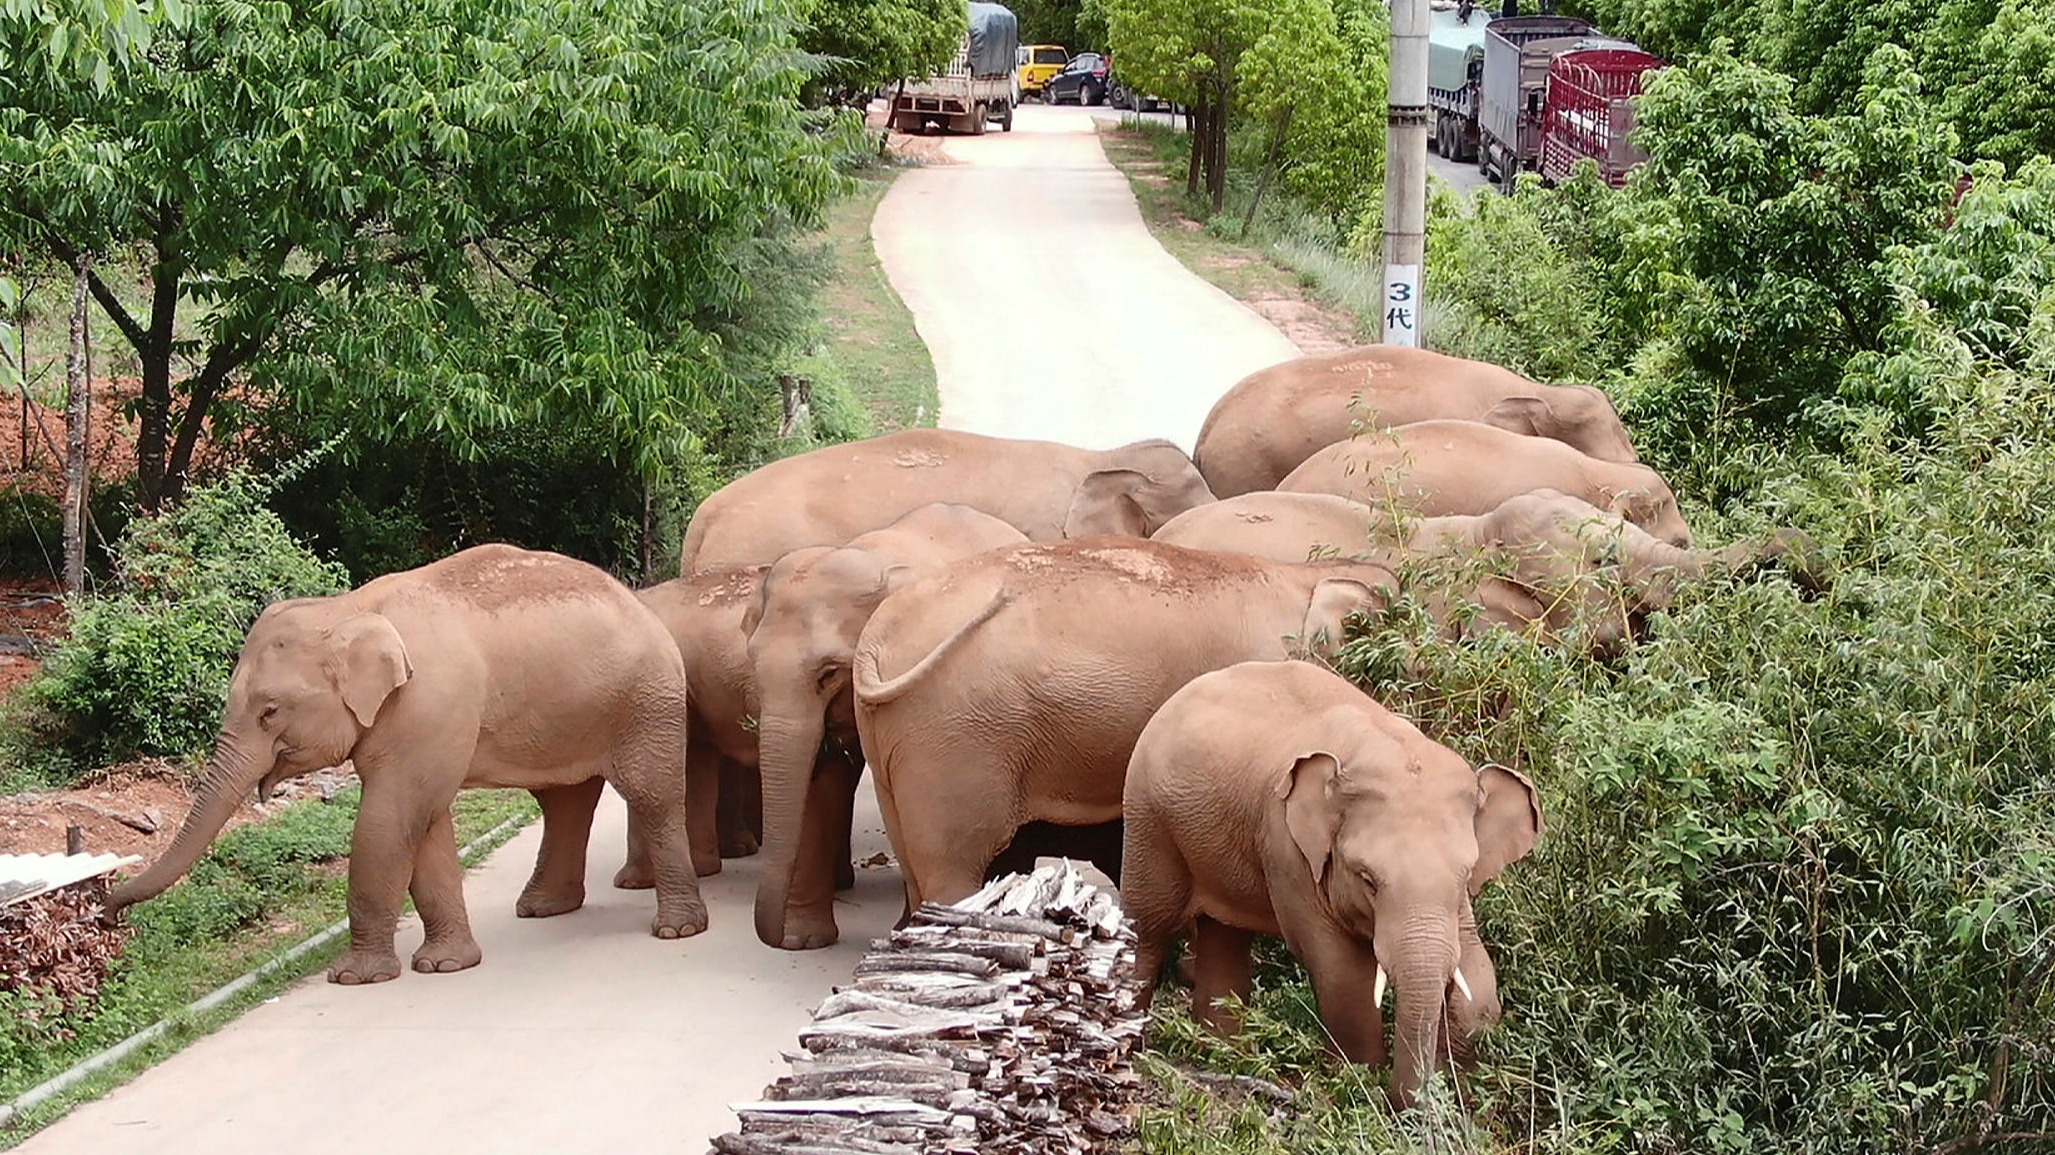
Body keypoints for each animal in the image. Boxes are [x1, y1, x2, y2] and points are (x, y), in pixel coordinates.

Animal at [105, 544, 708, 985]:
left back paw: (677, 930)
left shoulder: (426, 705)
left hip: (646, 698)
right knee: (566, 802)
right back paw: (543, 910)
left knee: (651, 795)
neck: (348, 607)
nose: (108, 912)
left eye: (269, 711)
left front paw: (356, 978)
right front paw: (445, 966)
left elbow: (391, 817)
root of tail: (641, 602)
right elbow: (425, 822)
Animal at [744, 502, 1030, 950]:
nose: (774, 937)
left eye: (828, 673)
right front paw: (805, 942)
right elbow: (820, 781)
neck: (870, 555)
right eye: (752, 663)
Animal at [848, 537, 1400, 943]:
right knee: (953, 868)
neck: (1304, 576)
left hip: (893, 738)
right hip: (956, 737)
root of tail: (877, 636)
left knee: (915, 864)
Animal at [1122, 659, 1543, 1110]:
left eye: (1466, 875)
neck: (1382, 745)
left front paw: (1460, 1083)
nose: (1414, 1102)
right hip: (1148, 818)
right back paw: (1133, 1047)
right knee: (1149, 926)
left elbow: (1477, 976)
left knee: (1225, 935)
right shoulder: (1287, 848)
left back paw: (1226, 1054)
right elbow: (1344, 973)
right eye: (1367, 879)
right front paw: (1359, 1085)